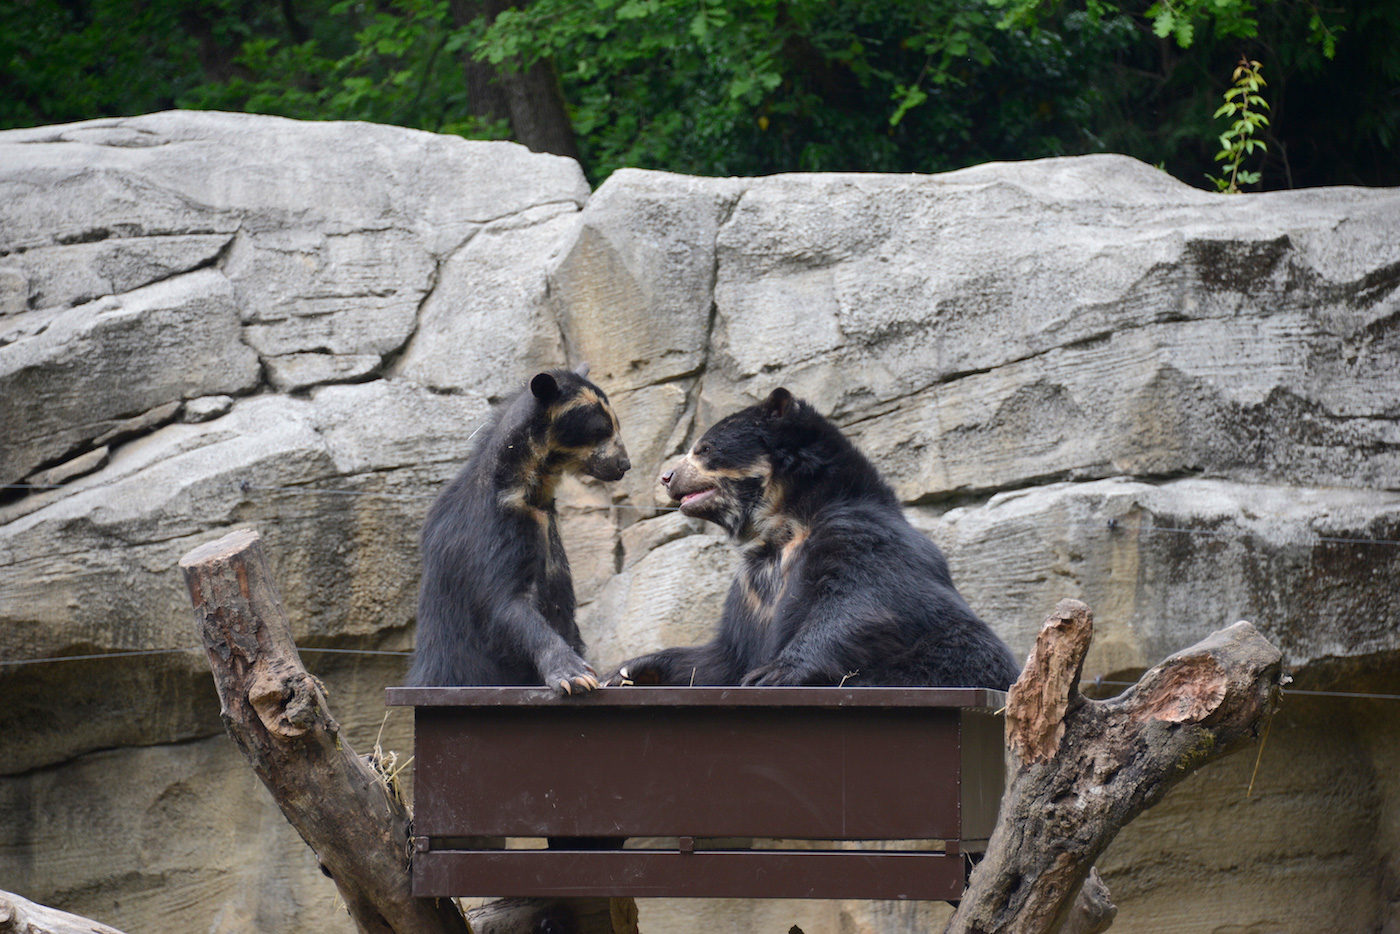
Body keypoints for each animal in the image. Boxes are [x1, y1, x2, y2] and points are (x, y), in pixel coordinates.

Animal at [403, 364, 627, 694]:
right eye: (600, 429)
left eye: (615, 425)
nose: (624, 464)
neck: (532, 488)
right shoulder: (497, 526)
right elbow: (508, 603)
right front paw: (575, 675)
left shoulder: (549, 529)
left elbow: (563, 610)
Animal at [613, 383, 1019, 691]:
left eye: (705, 449)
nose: (666, 477)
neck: (786, 523)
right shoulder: (751, 588)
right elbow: (725, 655)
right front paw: (633, 668)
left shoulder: (860, 533)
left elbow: (863, 601)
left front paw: (773, 673)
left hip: (957, 656)